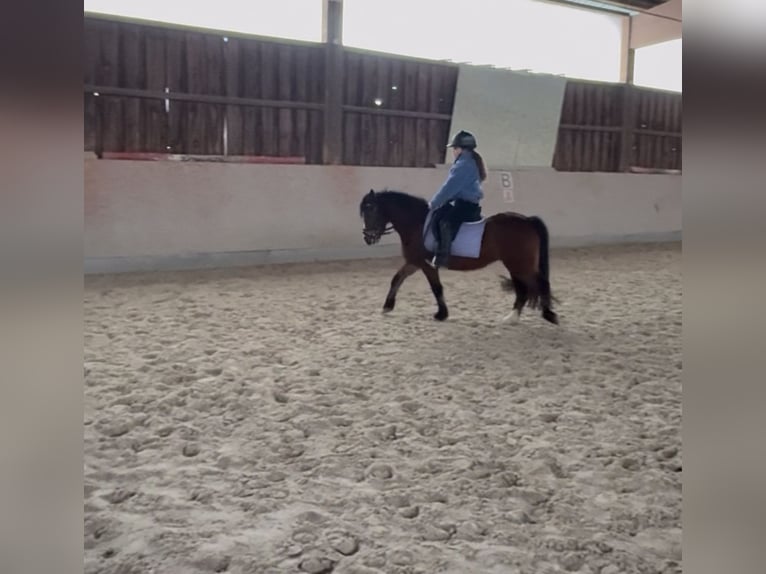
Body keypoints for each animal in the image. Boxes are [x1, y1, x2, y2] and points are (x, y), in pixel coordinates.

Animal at [359, 189, 558, 324]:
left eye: (371, 210)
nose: (368, 238)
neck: (417, 224)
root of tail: (527, 220)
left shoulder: (427, 265)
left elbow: (436, 288)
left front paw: (441, 314)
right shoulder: (414, 262)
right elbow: (397, 279)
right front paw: (387, 306)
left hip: (520, 264)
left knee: (540, 284)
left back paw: (548, 315)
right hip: (515, 265)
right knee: (523, 289)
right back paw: (512, 318)